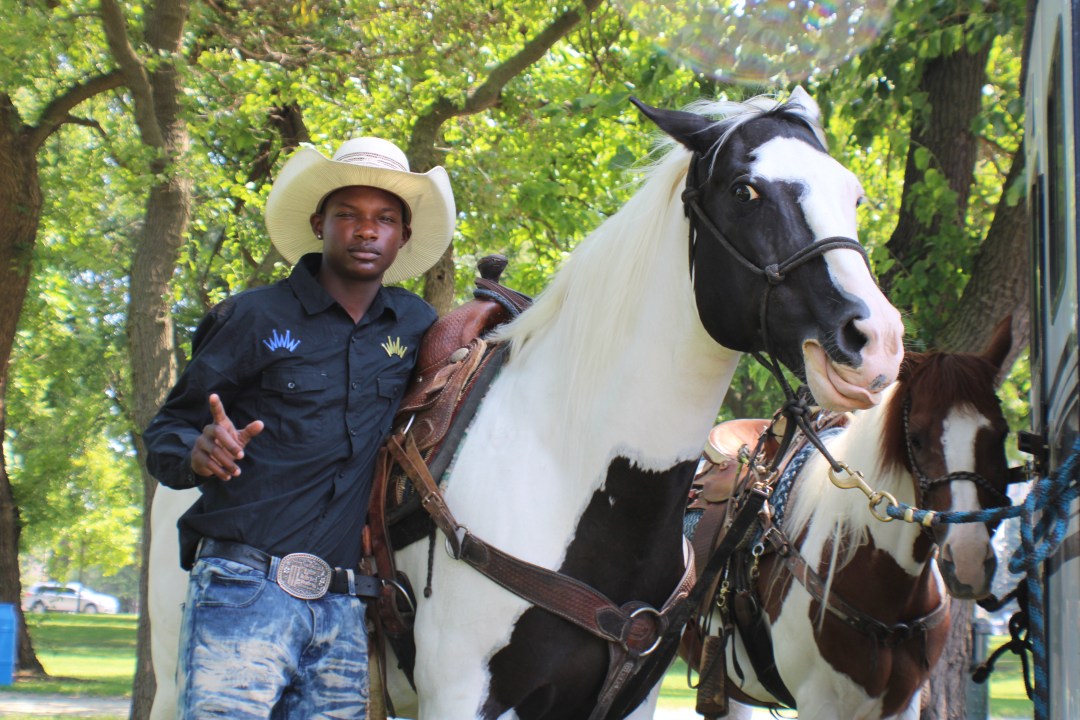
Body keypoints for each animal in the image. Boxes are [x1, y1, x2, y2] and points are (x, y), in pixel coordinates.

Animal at [150, 90, 902, 720]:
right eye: (747, 190)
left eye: (855, 195)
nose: (876, 340)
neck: (576, 474)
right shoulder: (465, 697)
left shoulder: (628, 702)